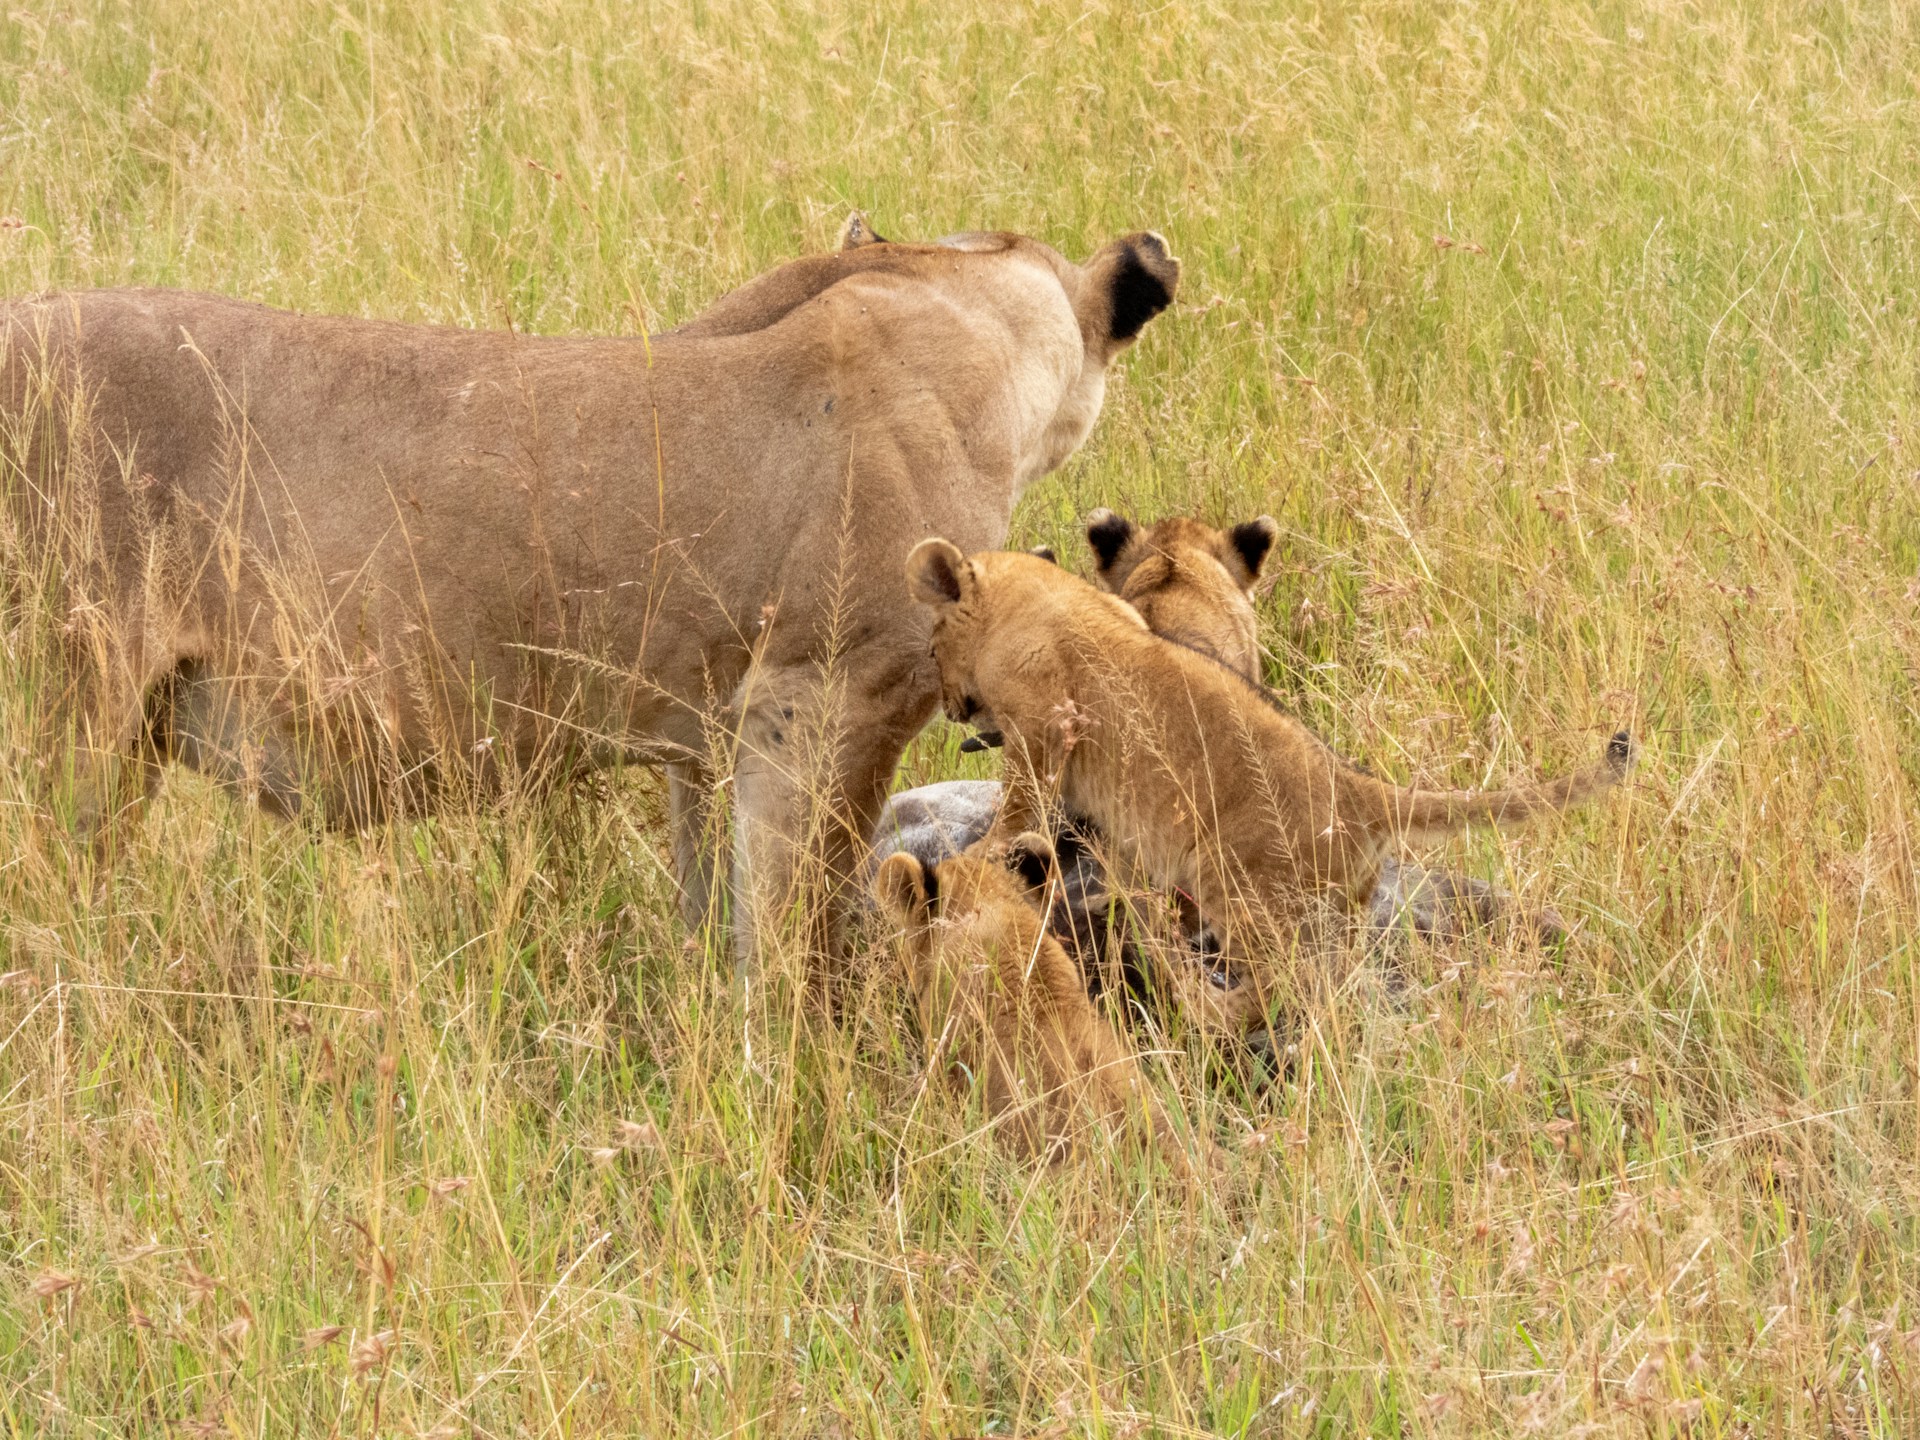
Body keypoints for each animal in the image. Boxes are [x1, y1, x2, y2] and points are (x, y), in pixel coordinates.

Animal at [0, 216, 1179, 964]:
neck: (957, 293)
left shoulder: (714, 735)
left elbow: (718, 917)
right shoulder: (823, 704)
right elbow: (795, 942)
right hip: (70, 711)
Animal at [903, 540, 1630, 1019]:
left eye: (932, 649)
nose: (949, 708)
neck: (1029, 596)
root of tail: (1357, 788)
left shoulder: (1048, 725)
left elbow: (1020, 802)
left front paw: (986, 851)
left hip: (1233, 879)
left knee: (1273, 991)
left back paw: (1184, 981)